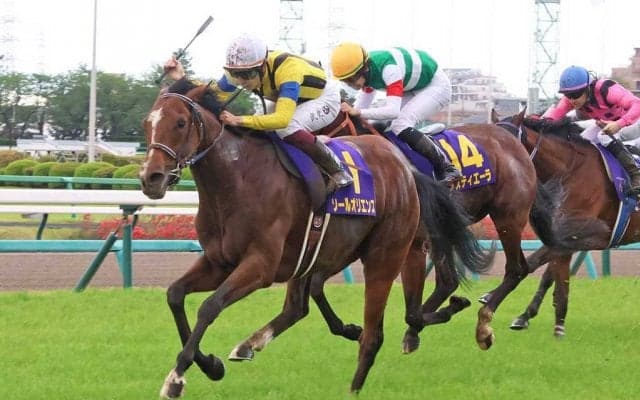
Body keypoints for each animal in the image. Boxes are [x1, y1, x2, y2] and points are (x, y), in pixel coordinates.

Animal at [139, 80, 492, 397]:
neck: (237, 180)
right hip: (333, 250)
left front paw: (177, 378)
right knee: (303, 306)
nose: (150, 178)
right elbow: (175, 295)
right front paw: (209, 365)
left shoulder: (261, 266)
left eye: (180, 123)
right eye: (147, 123)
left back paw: (358, 382)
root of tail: (406, 169)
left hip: (387, 253)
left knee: (376, 332)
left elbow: (209, 306)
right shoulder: (218, 261)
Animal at [492, 109, 632, 337]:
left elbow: (535, 263)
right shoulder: (562, 236)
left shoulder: (580, 233)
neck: (568, 171)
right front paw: (523, 315)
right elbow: (546, 271)